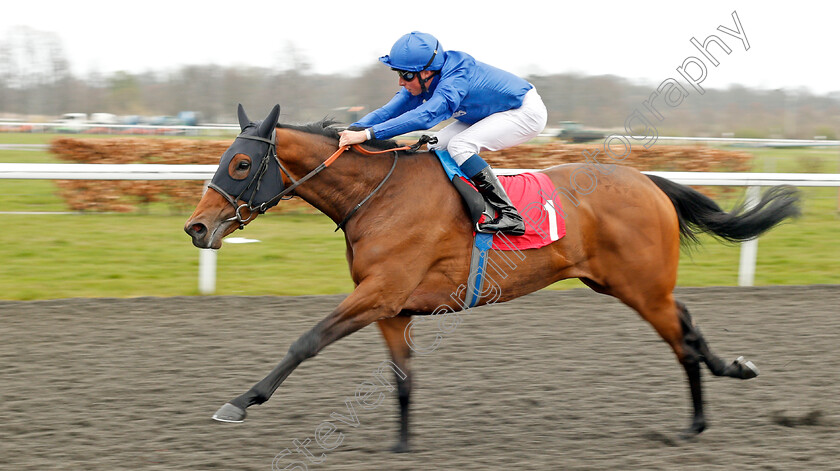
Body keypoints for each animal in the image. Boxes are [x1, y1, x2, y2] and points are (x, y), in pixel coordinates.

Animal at [184, 105, 800, 452]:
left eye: (241, 164)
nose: (197, 227)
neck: (377, 197)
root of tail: (648, 181)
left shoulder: (377, 293)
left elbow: (305, 341)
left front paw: (240, 401)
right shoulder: (392, 306)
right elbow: (402, 378)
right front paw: (402, 444)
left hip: (641, 287)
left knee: (682, 341)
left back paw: (695, 423)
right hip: (626, 283)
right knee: (689, 323)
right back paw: (732, 372)